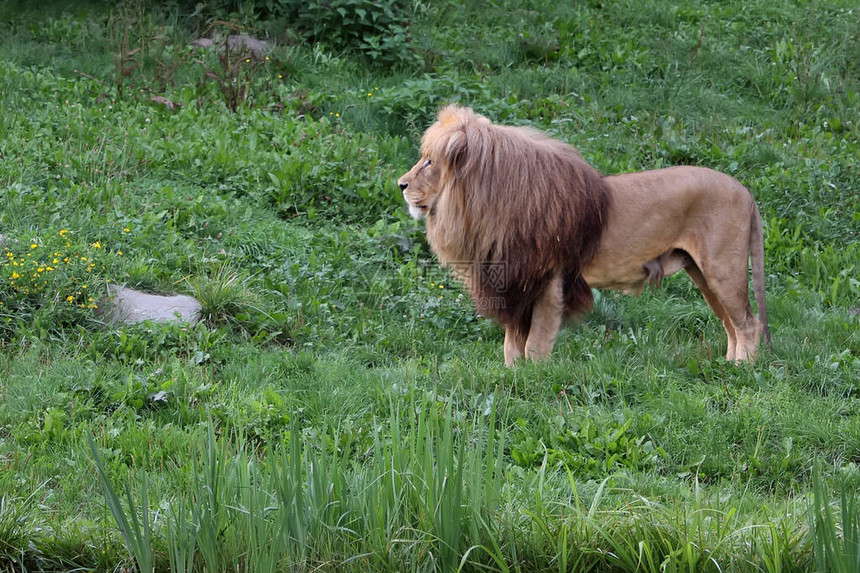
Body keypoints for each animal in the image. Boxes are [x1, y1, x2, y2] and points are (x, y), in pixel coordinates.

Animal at [400, 106, 768, 366]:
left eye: (429, 162)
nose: (401, 184)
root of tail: (745, 191)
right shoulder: (516, 283)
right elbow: (511, 346)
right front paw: (512, 376)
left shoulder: (550, 280)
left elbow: (534, 345)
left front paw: (534, 381)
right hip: (703, 274)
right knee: (732, 323)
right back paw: (727, 365)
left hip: (723, 268)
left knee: (749, 323)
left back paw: (741, 373)